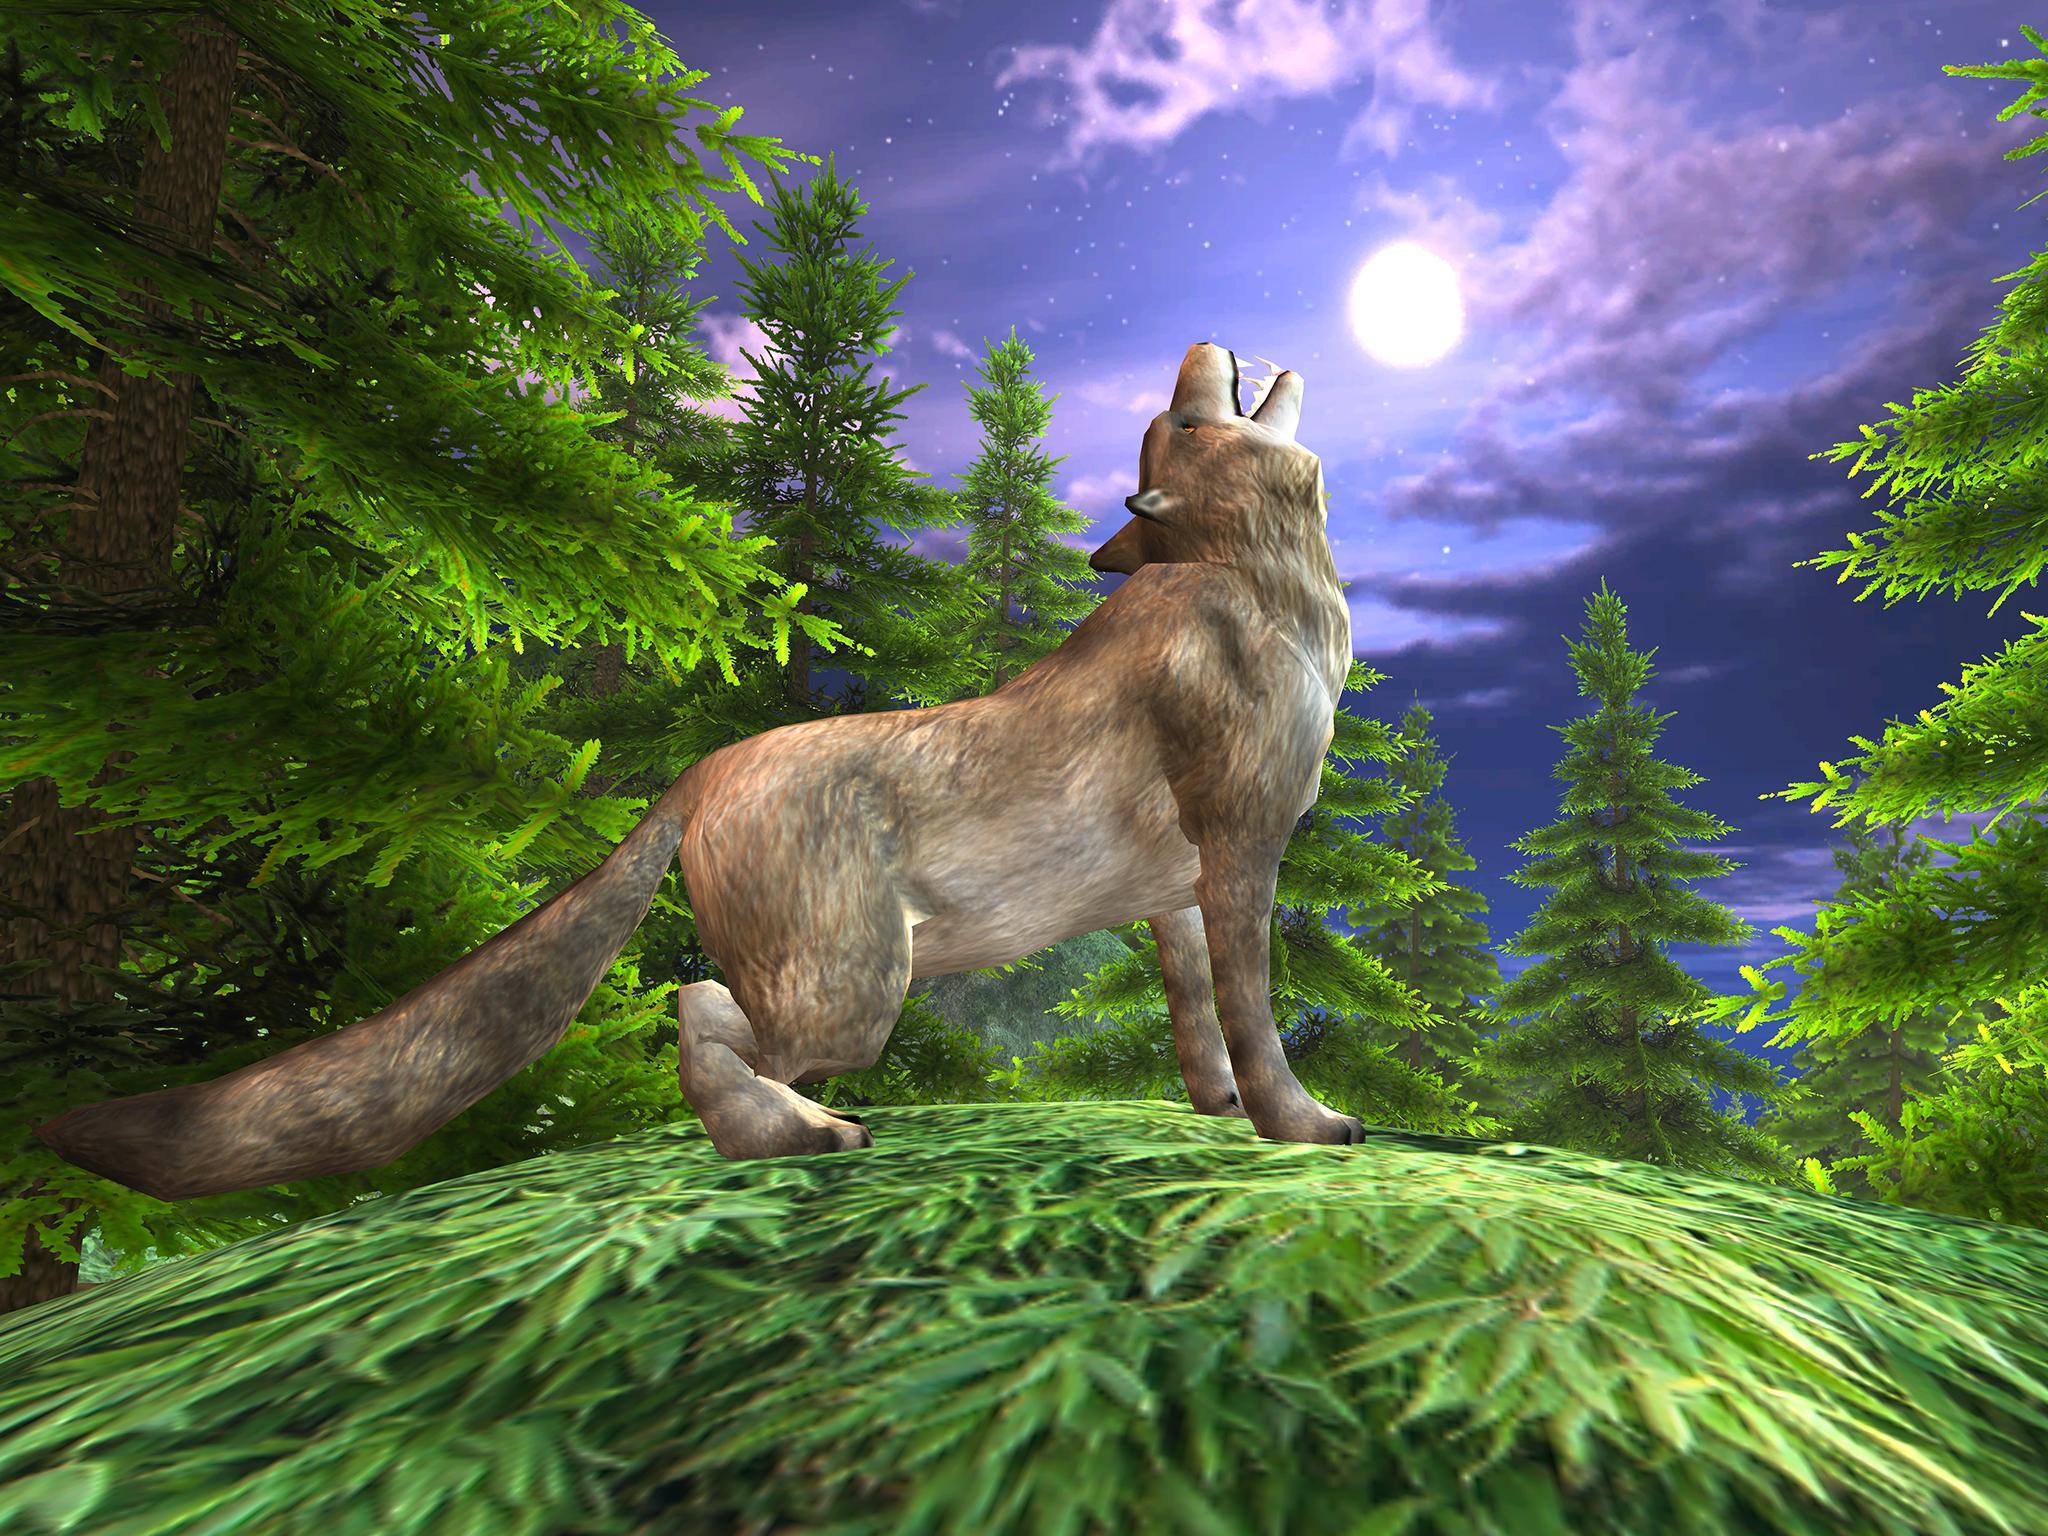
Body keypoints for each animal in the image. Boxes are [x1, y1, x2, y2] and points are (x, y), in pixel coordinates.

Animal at [34, 341, 1366, 1200]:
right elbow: (1254, 1017)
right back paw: (797, 1139)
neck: (1259, 586)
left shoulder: (1174, 892)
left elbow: (1195, 1023)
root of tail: (697, 770)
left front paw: (1215, 1114)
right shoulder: (1240, 851)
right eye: (1178, 423)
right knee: (696, 1012)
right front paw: (1302, 1127)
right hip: (855, 989)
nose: (1200, 339)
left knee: (701, 1017)